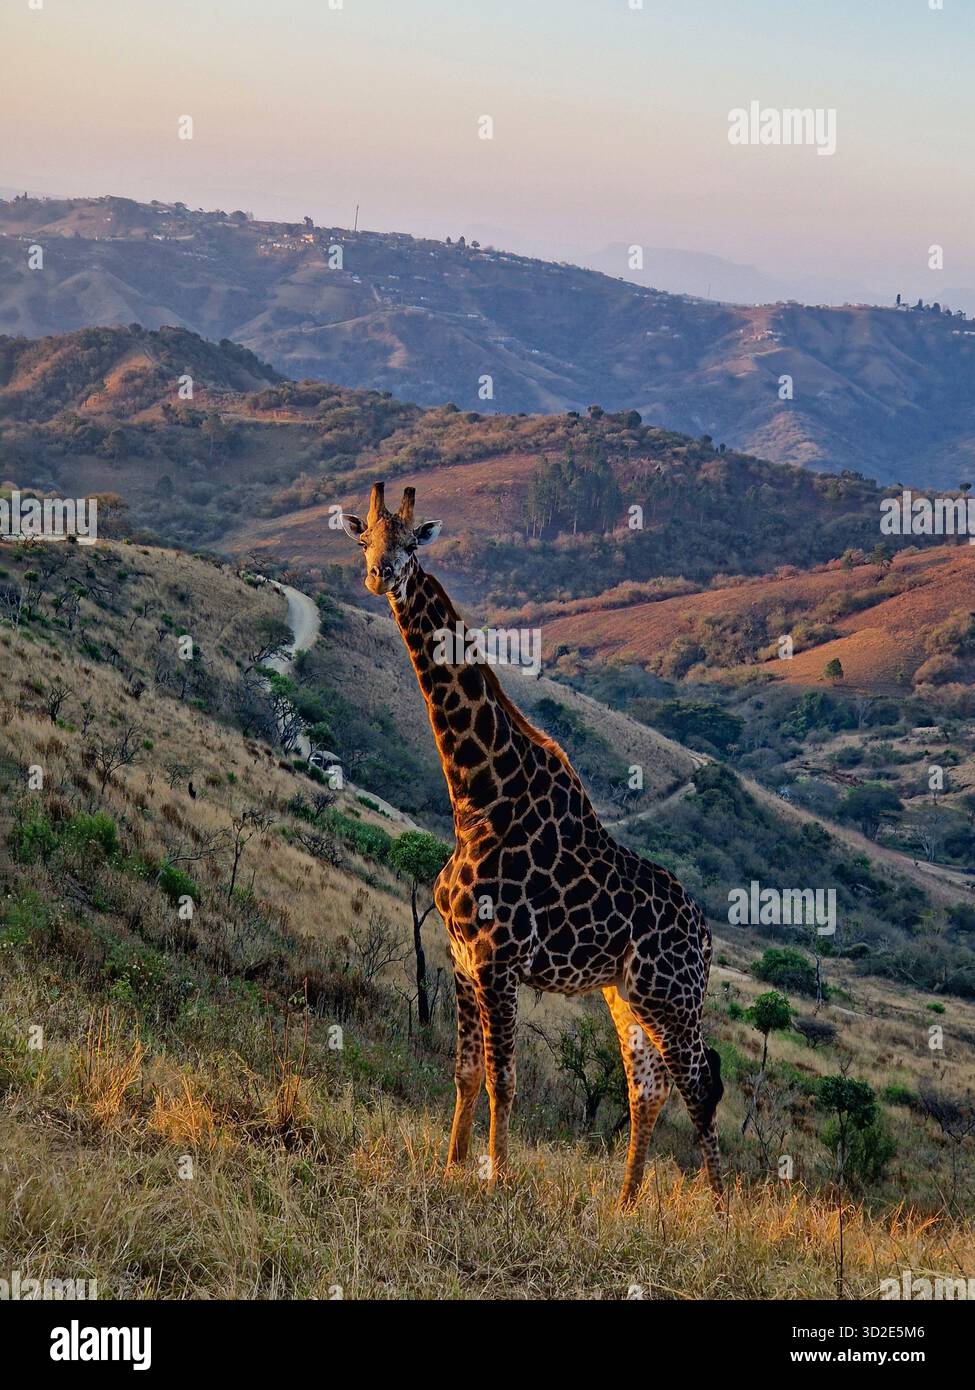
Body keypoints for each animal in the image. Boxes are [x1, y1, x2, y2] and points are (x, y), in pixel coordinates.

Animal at [342, 482, 723, 1206]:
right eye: (366, 538)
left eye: (410, 542)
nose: (381, 575)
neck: (476, 798)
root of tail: (706, 933)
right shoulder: (461, 957)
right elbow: (465, 1072)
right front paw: (452, 1167)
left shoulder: (498, 961)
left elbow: (503, 1078)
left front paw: (495, 1177)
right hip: (627, 996)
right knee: (647, 1087)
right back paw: (625, 1207)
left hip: (675, 996)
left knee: (700, 1086)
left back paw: (718, 1215)